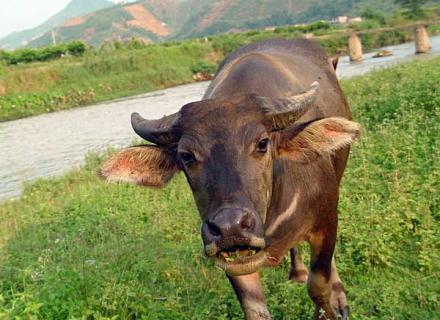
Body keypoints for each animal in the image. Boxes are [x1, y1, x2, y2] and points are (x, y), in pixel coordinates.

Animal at [100, 38, 360, 318]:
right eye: (186, 156)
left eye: (262, 143)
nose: (230, 227)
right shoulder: (233, 259)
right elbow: (254, 308)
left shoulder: (327, 222)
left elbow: (319, 286)